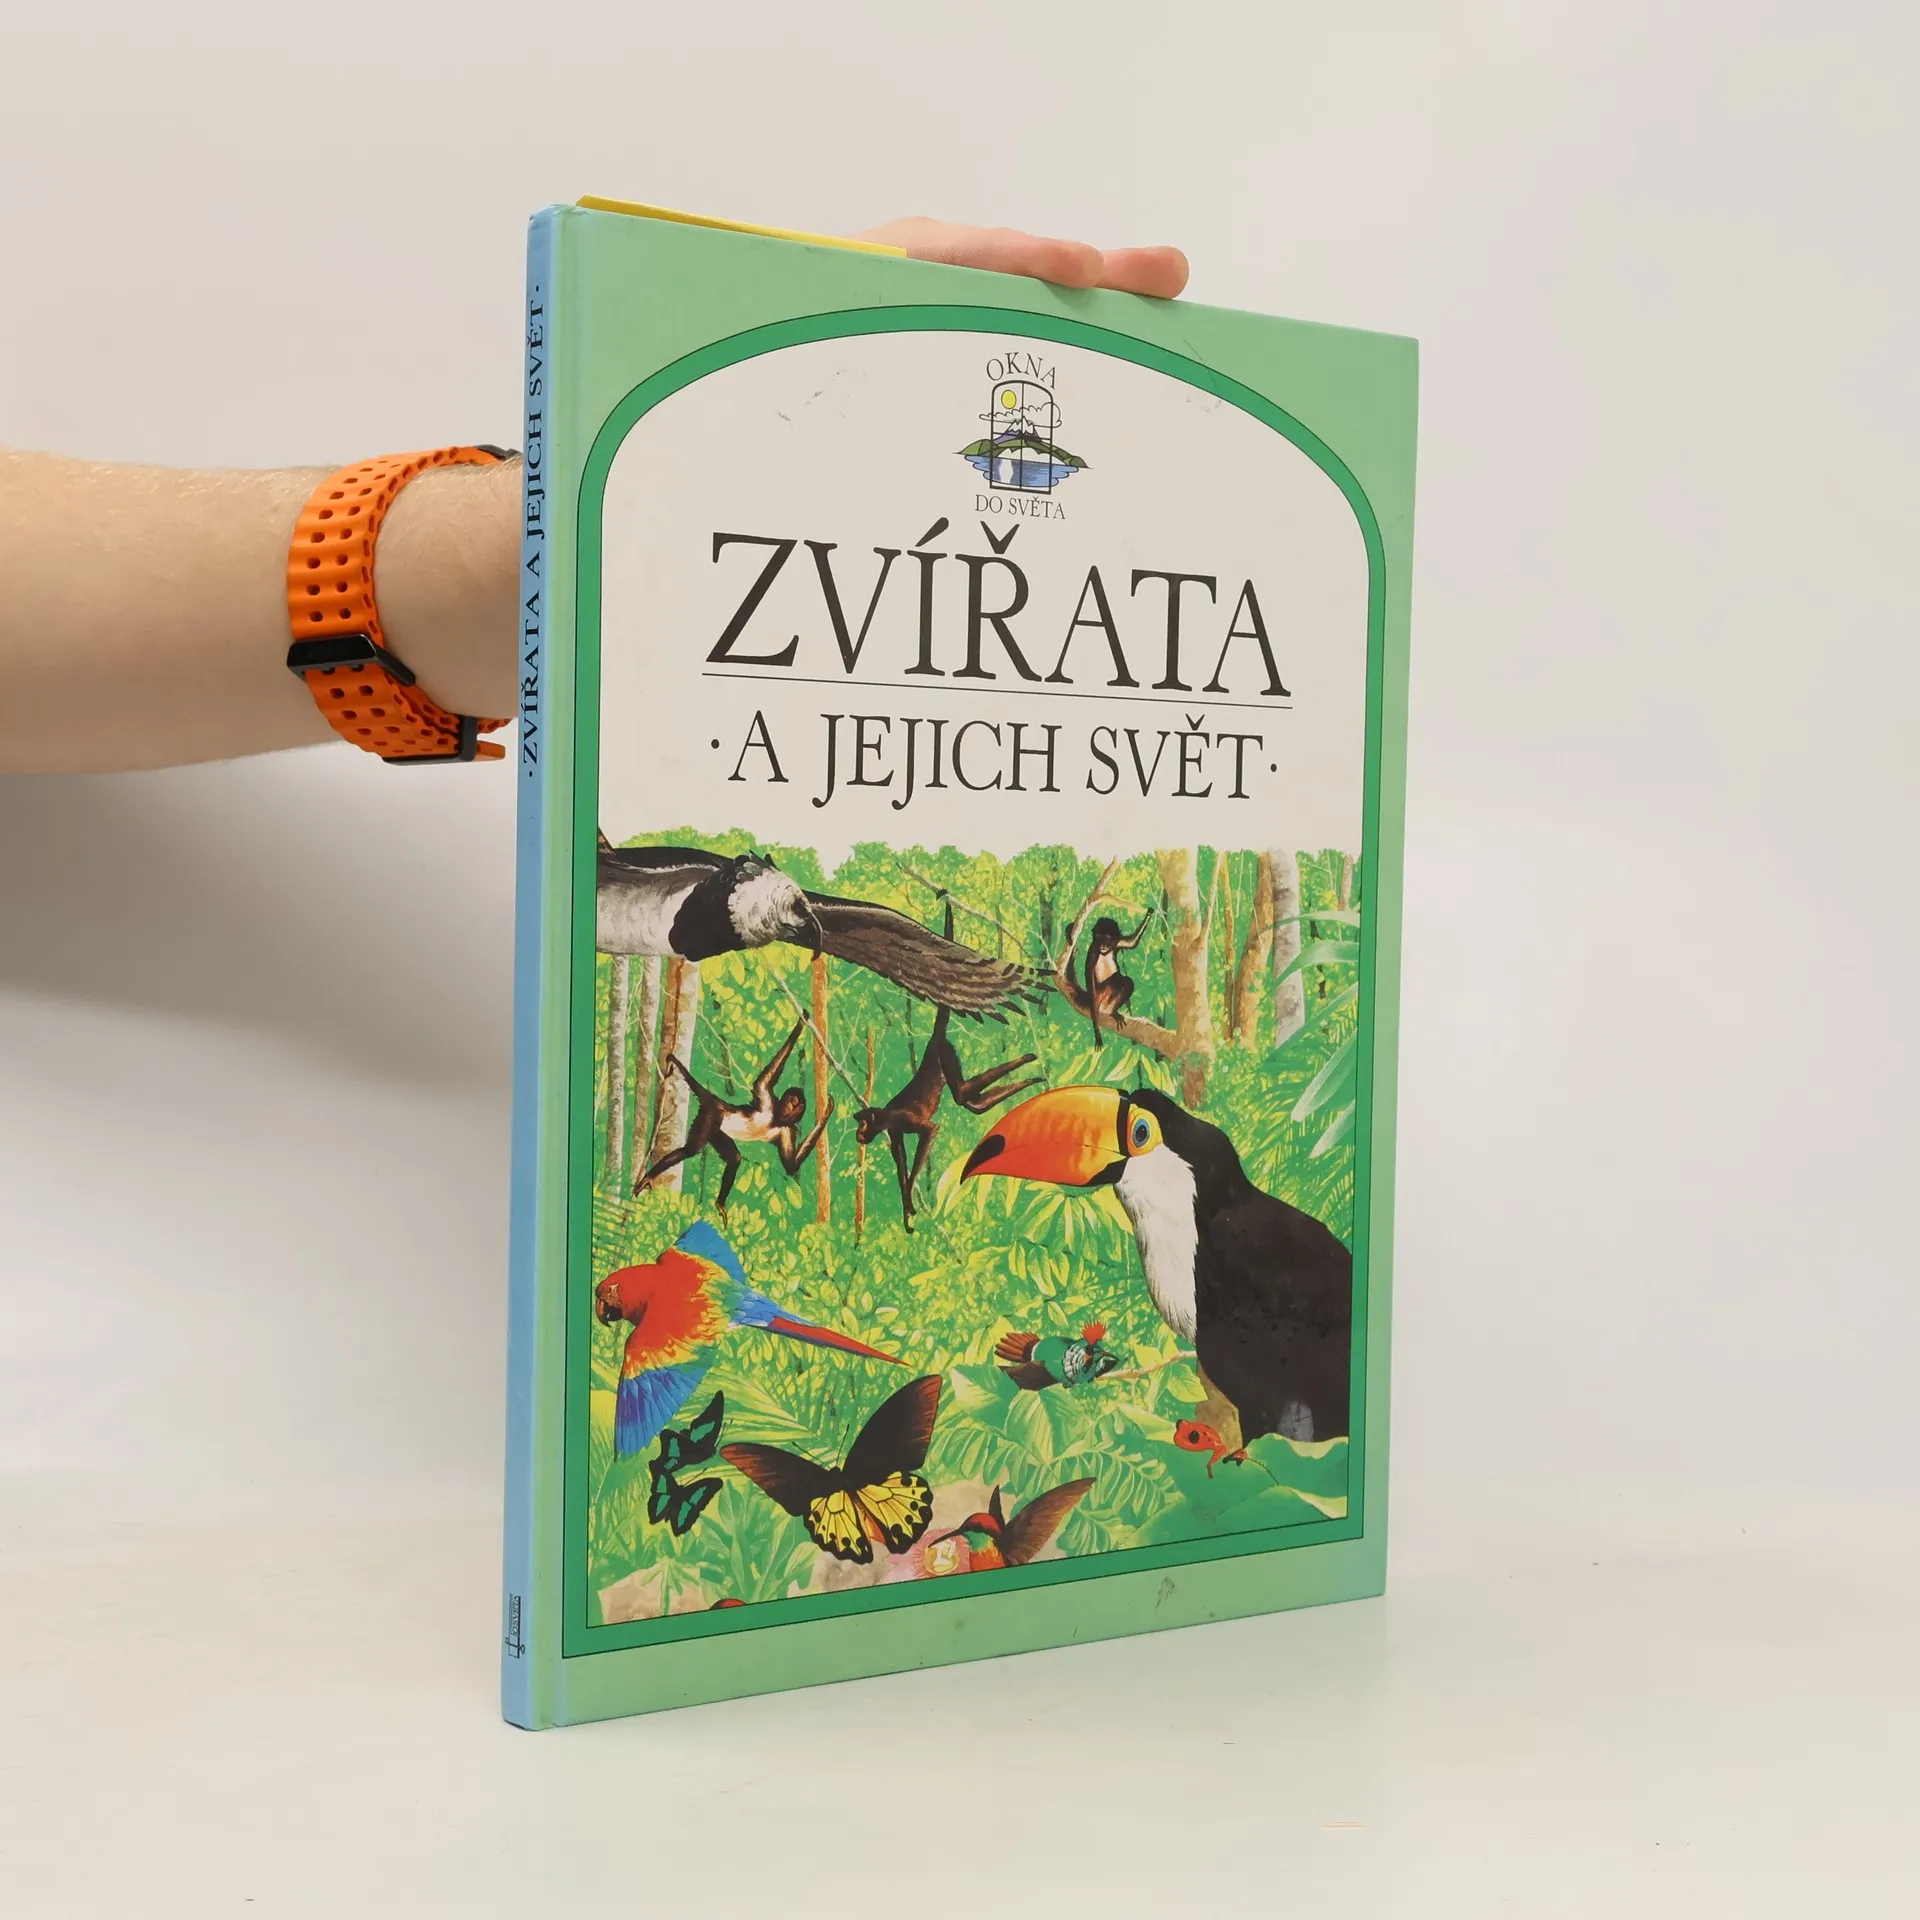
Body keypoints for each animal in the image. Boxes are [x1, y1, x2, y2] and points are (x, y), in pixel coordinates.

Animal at [639, 1020, 832, 1211]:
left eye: (794, 1103)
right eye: (789, 1100)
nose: (788, 1106)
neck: (776, 1118)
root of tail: (716, 1102)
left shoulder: (787, 1129)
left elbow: (790, 1165)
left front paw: (827, 1111)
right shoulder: (768, 1101)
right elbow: (763, 1080)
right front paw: (801, 1022)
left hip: (716, 1130)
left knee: (734, 1158)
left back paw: (719, 1203)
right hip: (711, 1116)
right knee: (691, 1149)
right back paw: (648, 1177)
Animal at [1081, 912, 1153, 1046]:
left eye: (1107, 938)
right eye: (1099, 937)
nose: (1103, 945)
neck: (1105, 951)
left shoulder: (1116, 942)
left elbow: (1131, 942)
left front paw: (1150, 912)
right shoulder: (1093, 950)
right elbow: (1089, 978)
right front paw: (1097, 1035)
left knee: (1126, 981)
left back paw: (1113, 1011)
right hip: (1101, 993)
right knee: (1117, 978)